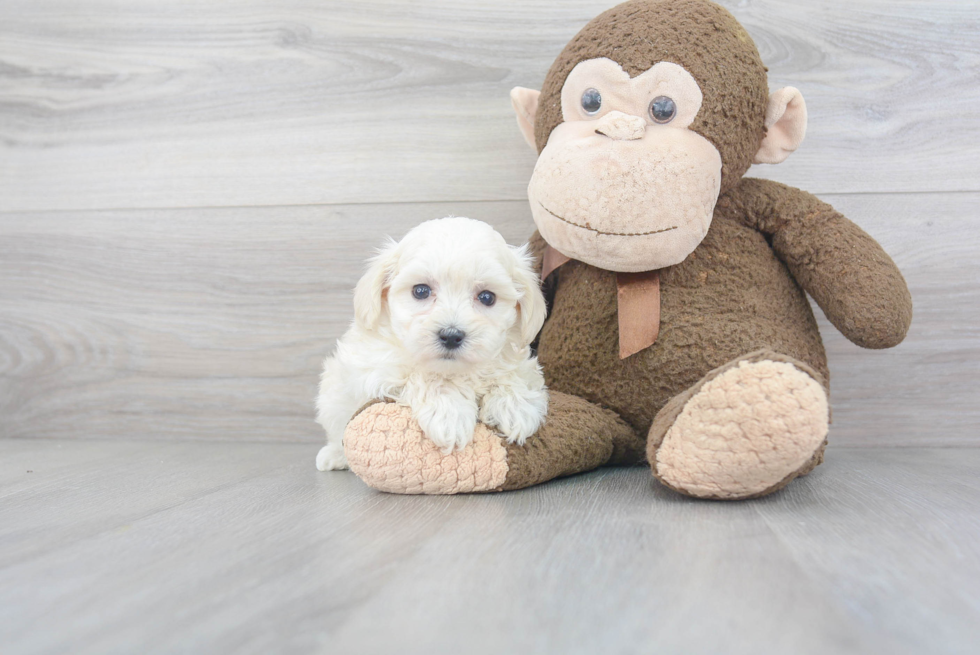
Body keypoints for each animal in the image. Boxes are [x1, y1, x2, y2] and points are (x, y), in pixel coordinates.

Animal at [318, 217, 548, 472]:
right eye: (421, 291)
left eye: (487, 297)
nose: (451, 335)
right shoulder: (376, 368)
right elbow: (425, 377)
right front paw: (450, 413)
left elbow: (514, 373)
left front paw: (515, 406)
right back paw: (333, 456)